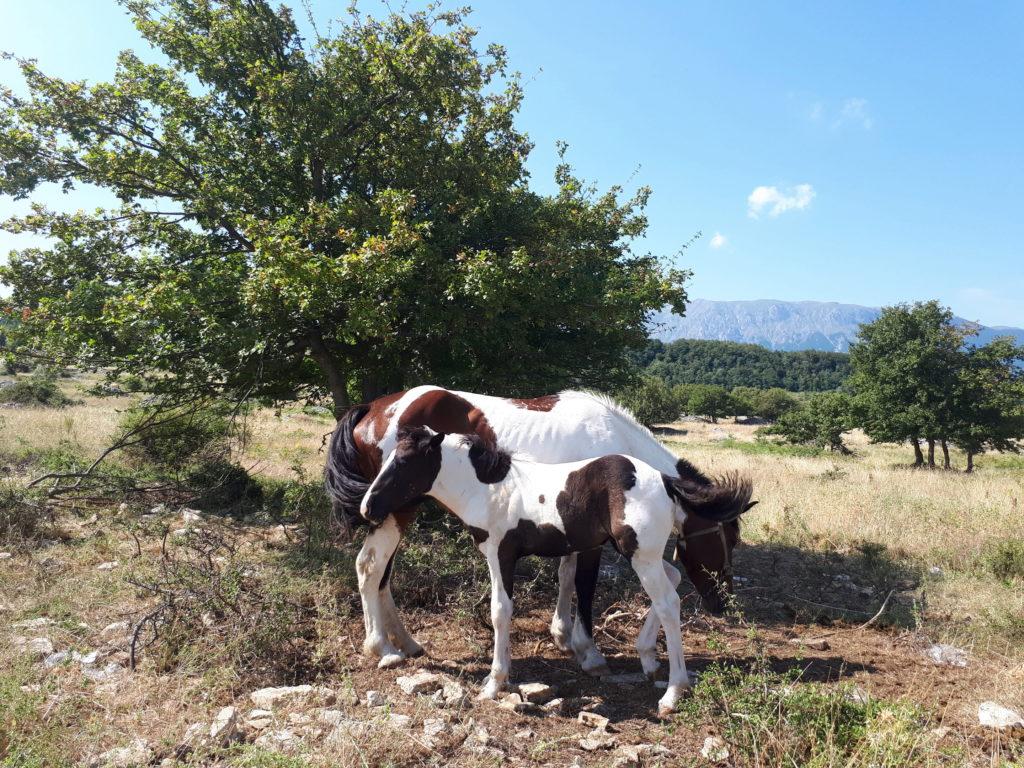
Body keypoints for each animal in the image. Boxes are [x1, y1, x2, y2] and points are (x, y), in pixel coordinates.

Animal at [327, 387, 753, 671]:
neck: (615, 442)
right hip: (395, 509)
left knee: (382, 575)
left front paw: (564, 635)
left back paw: (405, 641)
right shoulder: (593, 539)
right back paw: (381, 647)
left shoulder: (570, 530)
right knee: (370, 566)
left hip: (394, 512)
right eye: (727, 539)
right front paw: (587, 649)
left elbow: (566, 576)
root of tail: (373, 408)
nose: (724, 603)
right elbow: (583, 583)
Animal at [360, 428, 753, 716]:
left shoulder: (501, 553)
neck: (490, 488)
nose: (367, 507)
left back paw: (673, 692)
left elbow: (500, 611)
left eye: (405, 461)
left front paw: (493, 683)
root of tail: (666, 482)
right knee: (672, 581)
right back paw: (646, 656)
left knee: (670, 603)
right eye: (387, 458)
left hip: (641, 554)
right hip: (640, 552)